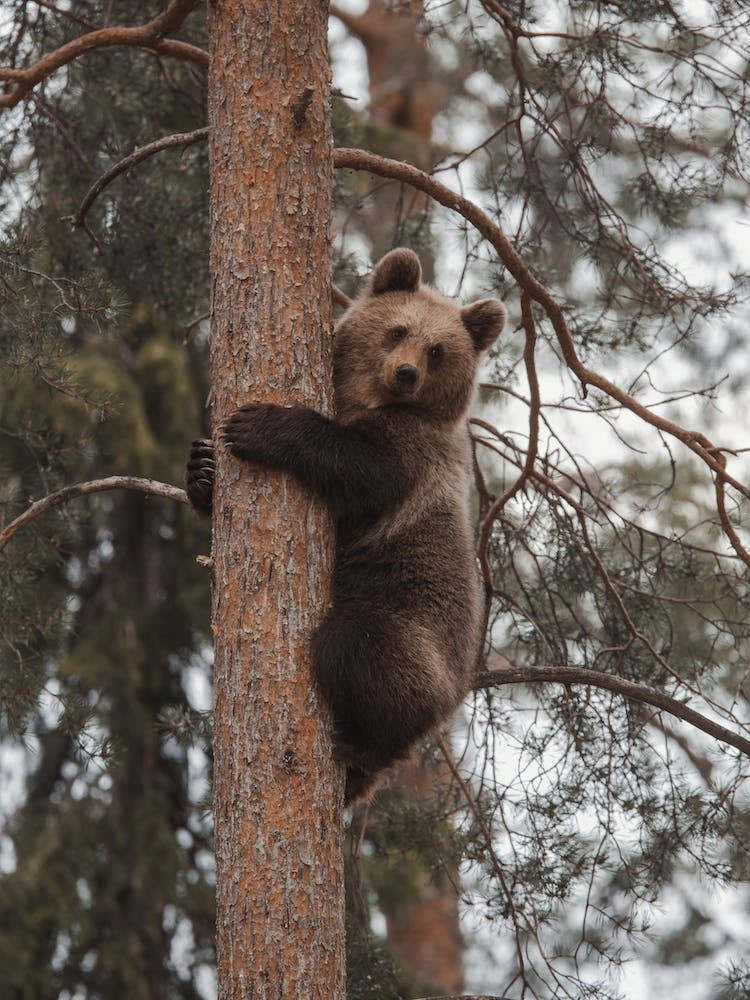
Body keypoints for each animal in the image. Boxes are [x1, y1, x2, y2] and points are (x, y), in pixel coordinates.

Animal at [186, 248, 506, 802]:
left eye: (438, 350)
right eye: (398, 330)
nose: (406, 373)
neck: (367, 400)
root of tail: (455, 695)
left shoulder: (409, 457)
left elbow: (354, 464)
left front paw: (259, 425)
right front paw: (202, 469)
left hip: (413, 631)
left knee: (357, 649)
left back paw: (358, 746)